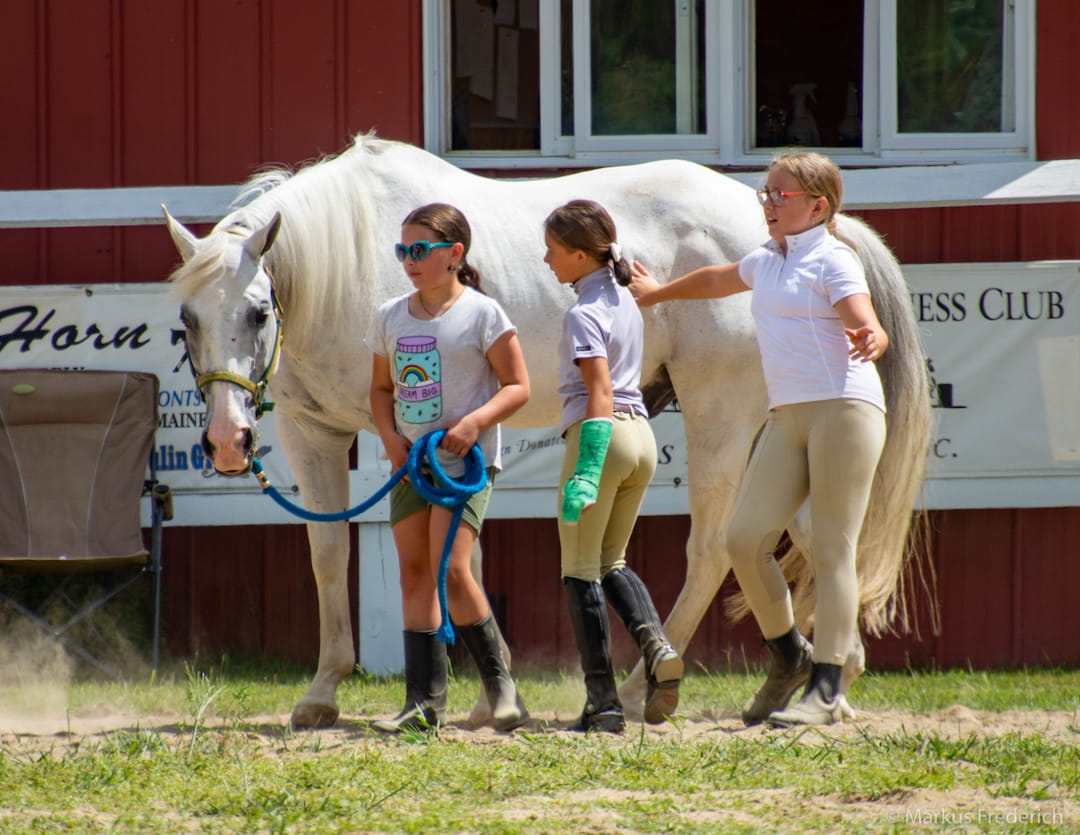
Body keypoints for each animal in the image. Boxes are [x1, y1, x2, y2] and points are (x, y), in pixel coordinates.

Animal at [162, 133, 928, 725]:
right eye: (187, 319)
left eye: (259, 311)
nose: (226, 443)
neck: (345, 261)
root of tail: (771, 236)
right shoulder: (310, 430)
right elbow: (329, 553)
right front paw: (325, 693)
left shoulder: (404, 438)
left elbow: (447, 552)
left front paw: (478, 697)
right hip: (776, 427)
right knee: (814, 539)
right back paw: (830, 686)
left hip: (723, 417)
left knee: (714, 549)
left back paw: (642, 688)